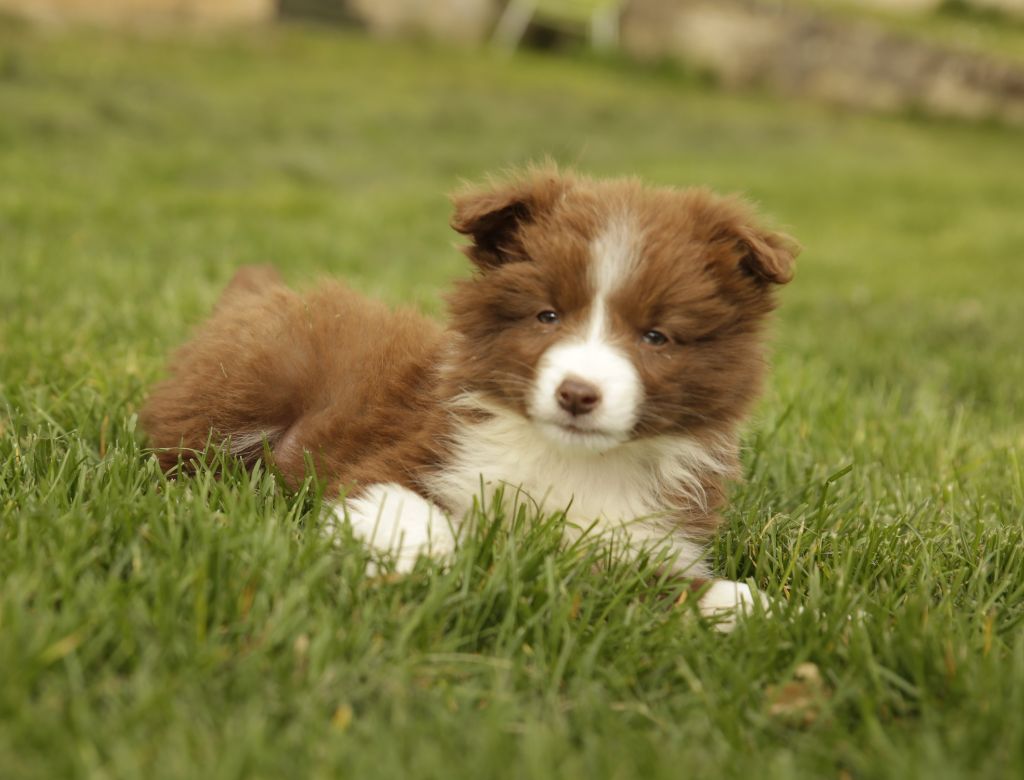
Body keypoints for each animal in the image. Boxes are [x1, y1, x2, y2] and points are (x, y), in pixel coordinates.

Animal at [142, 167, 798, 629]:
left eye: (656, 336)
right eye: (547, 315)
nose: (577, 394)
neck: (572, 461)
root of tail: (255, 293)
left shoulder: (645, 532)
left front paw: (751, 607)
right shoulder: (413, 454)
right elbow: (421, 521)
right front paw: (443, 563)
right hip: (253, 383)